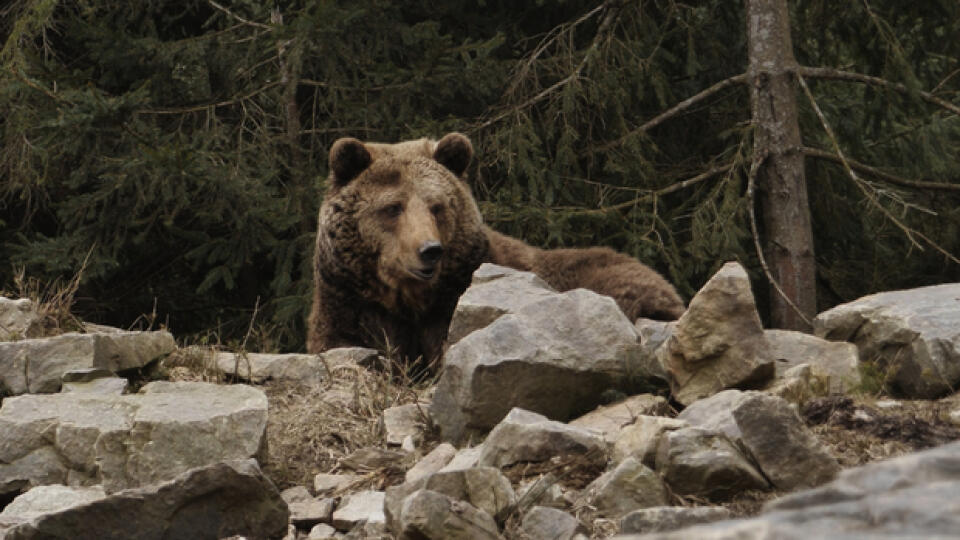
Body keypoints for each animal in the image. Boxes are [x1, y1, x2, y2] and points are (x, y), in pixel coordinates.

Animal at [308, 133, 684, 364]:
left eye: (436, 206)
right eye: (392, 208)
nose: (430, 250)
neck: (409, 299)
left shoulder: (453, 301)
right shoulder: (349, 304)